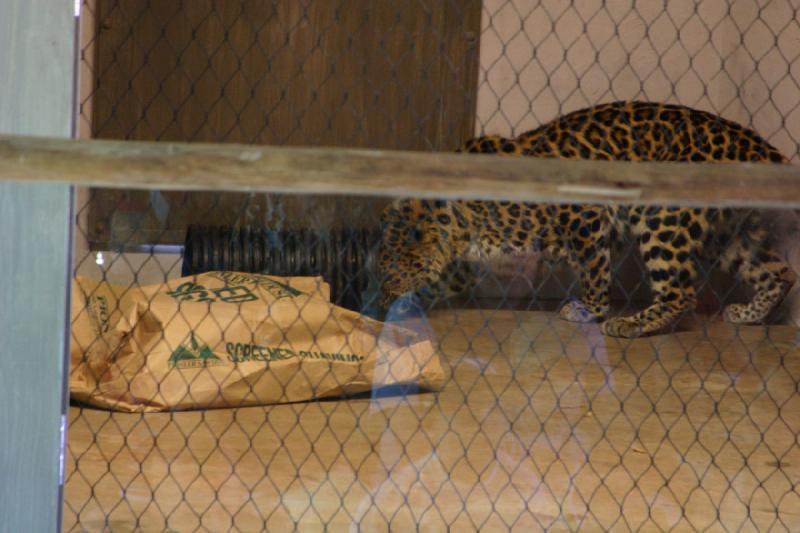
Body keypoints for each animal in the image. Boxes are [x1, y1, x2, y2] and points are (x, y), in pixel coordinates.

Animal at [378, 101, 796, 336]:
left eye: (392, 267)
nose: (382, 294)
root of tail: (760, 149)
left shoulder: (586, 216)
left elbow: (595, 271)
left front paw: (590, 310)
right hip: (728, 235)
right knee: (781, 272)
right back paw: (748, 314)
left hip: (663, 216)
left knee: (681, 293)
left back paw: (631, 324)